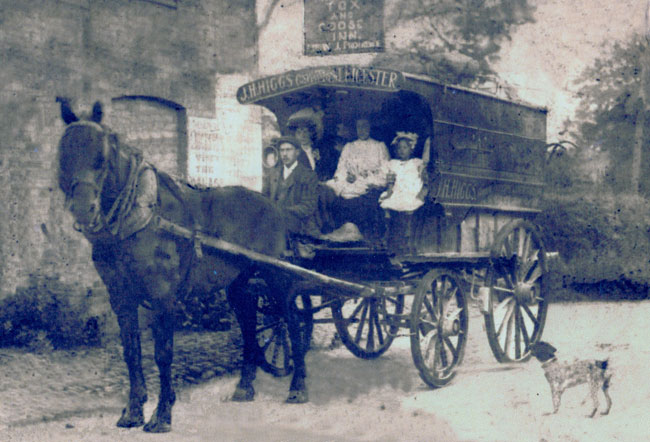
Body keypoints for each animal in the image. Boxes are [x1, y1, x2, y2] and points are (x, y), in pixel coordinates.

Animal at [55, 99, 308, 432]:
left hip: (277, 277)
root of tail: (274, 206)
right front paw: (133, 411)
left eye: (102, 157)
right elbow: (131, 351)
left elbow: (163, 354)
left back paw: (298, 388)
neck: (140, 216)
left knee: (290, 322)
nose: (84, 210)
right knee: (250, 327)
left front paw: (162, 415)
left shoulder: (163, 297)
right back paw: (245, 387)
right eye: (64, 153)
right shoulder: (120, 296)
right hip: (239, 286)